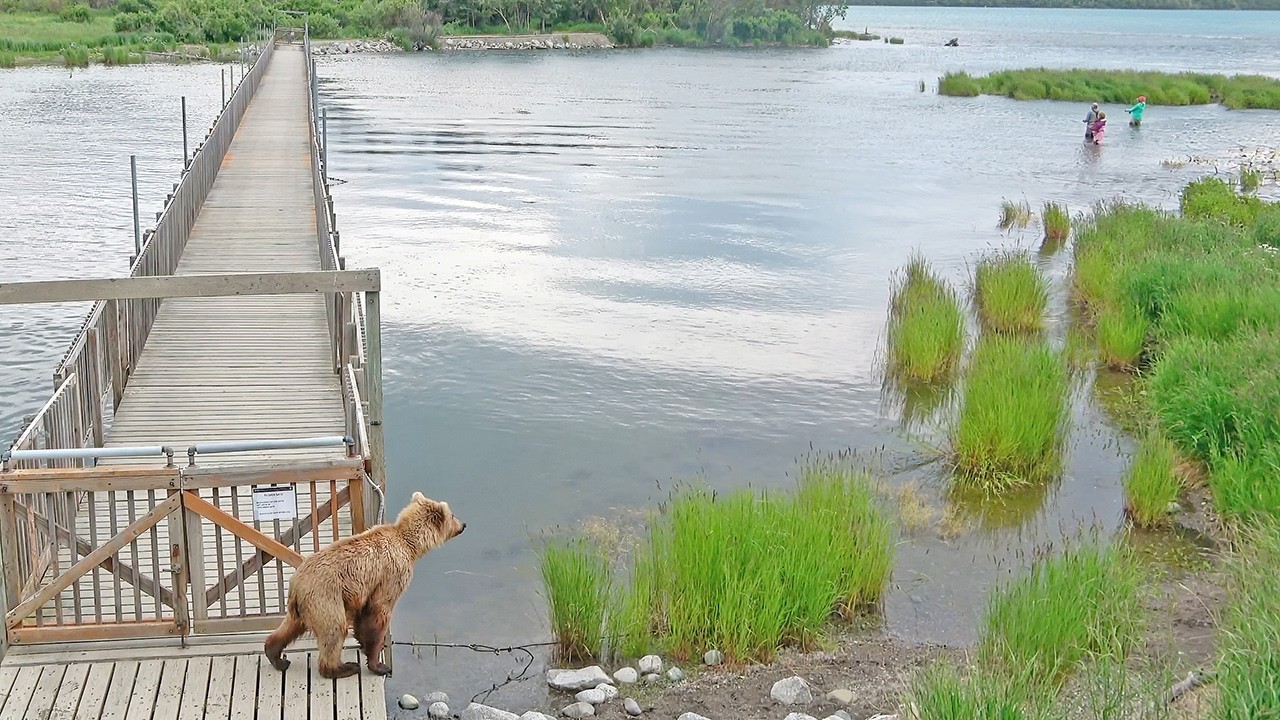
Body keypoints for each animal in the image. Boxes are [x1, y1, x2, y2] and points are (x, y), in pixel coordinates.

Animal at [264, 491, 465, 678]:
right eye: (452, 515)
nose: (464, 524)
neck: (410, 546)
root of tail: (295, 583)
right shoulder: (392, 574)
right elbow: (380, 611)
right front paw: (379, 664)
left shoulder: (364, 590)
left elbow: (364, 616)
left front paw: (363, 643)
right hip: (325, 596)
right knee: (335, 629)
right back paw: (344, 667)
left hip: (306, 605)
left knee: (290, 626)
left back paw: (277, 657)